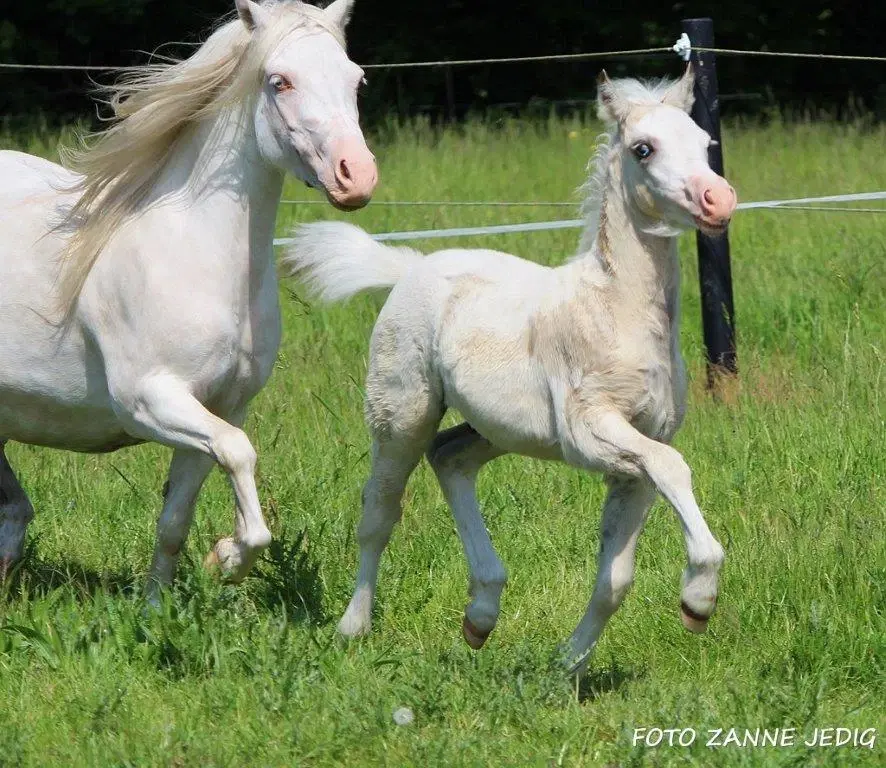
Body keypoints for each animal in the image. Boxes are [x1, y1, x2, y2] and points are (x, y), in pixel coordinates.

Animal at [0, 0, 376, 592]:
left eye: (356, 79)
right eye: (280, 81)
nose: (356, 177)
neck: (197, 255)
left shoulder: (219, 407)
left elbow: (176, 518)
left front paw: (164, 600)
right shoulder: (150, 401)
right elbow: (240, 455)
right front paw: (225, 556)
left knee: (13, 506)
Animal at [290, 64, 736, 672]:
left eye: (706, 143)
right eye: (643, 148)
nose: (719, 199)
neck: (616, 311)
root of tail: (411, 268)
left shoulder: (637, 452)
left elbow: (615, 578)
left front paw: (568, 666)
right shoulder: (591, 432)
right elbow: (673, 467)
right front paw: (700, 598)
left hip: (497, 428)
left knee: (450, 458)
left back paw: (480, 616)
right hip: (401, 414)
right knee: (379, 510)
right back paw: (353, 627)